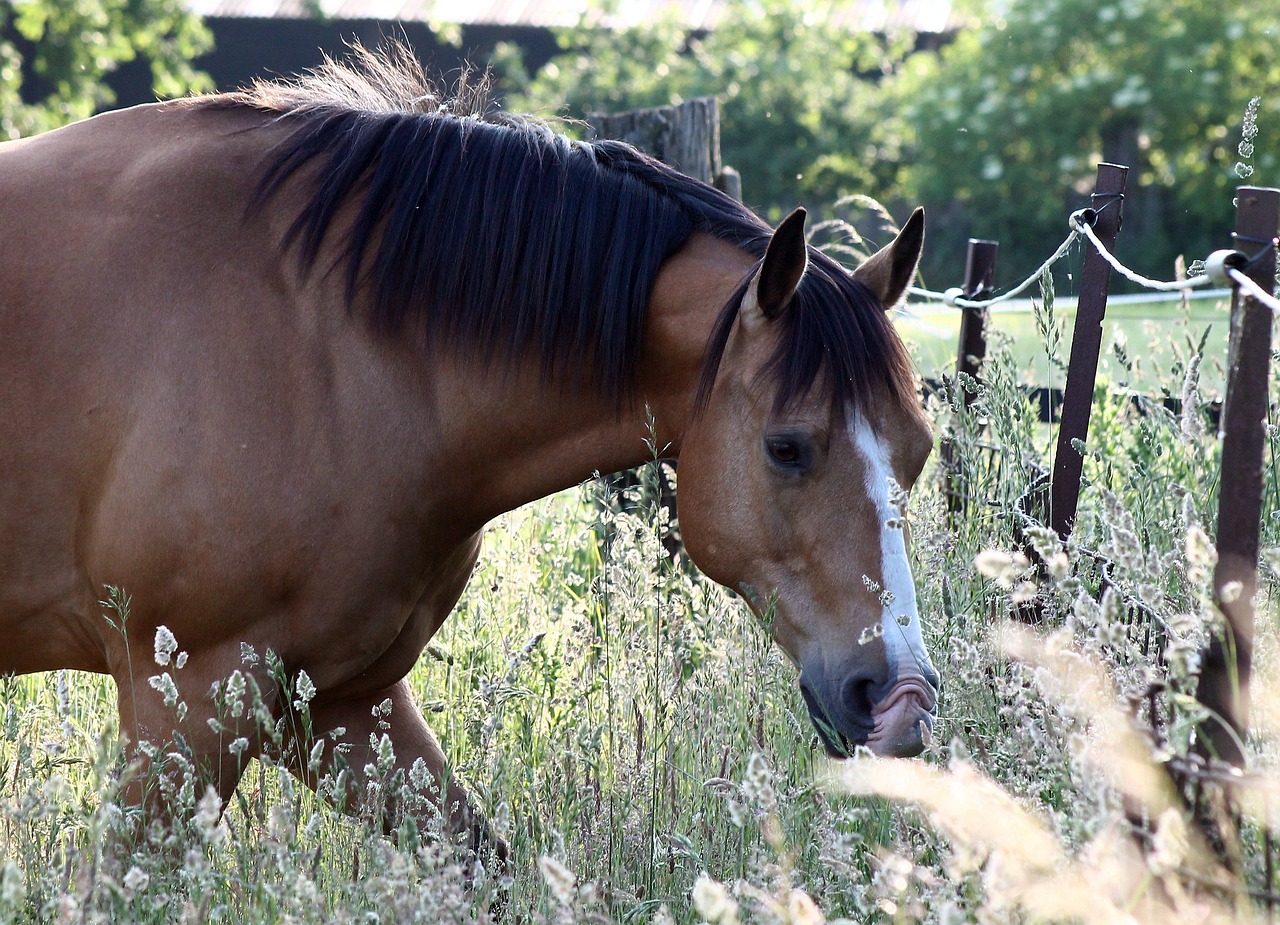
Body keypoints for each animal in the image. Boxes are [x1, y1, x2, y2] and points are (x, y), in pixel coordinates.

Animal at [0, 43, 942, 854]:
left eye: (919, 451)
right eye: (788, 447)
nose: (901, 700)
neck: (320, 338)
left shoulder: (340, 700)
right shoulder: (189, 699)